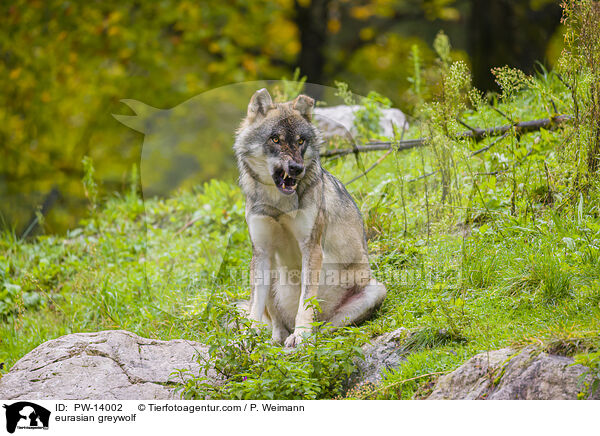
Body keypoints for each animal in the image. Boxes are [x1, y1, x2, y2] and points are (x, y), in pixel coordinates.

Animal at [232, 88, 386, 348]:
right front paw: (246, 339)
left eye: (301, 141)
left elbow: (306, 301)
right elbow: (254, 307)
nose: (297, 168)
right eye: (275, 139)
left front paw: (302, 335)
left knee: (327, 327)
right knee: (276, 326)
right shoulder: (261, 251)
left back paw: (306, 335)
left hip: (375, 290)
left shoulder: (311, 248)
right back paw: (276, 339)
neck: (279, 205)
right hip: (269, 272)